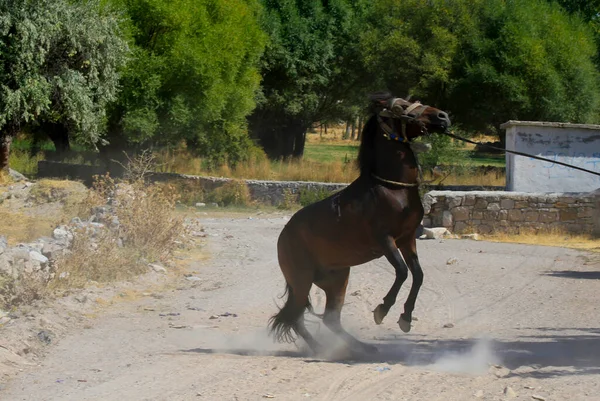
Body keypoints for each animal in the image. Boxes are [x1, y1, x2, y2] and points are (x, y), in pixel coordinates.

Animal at [268, 91, 450, 354]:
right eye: (402, 107)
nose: (442, 116)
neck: (392, 189)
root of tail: (284, 236)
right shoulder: (385, 240)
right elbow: (402, 271)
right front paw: (382, 310)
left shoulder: (407, 239)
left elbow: (418, 274)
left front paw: (405, 317)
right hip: (302, 279)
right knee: (296, 316)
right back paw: (323, 349)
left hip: (336, 279)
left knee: (329, 319)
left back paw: (361, 348)